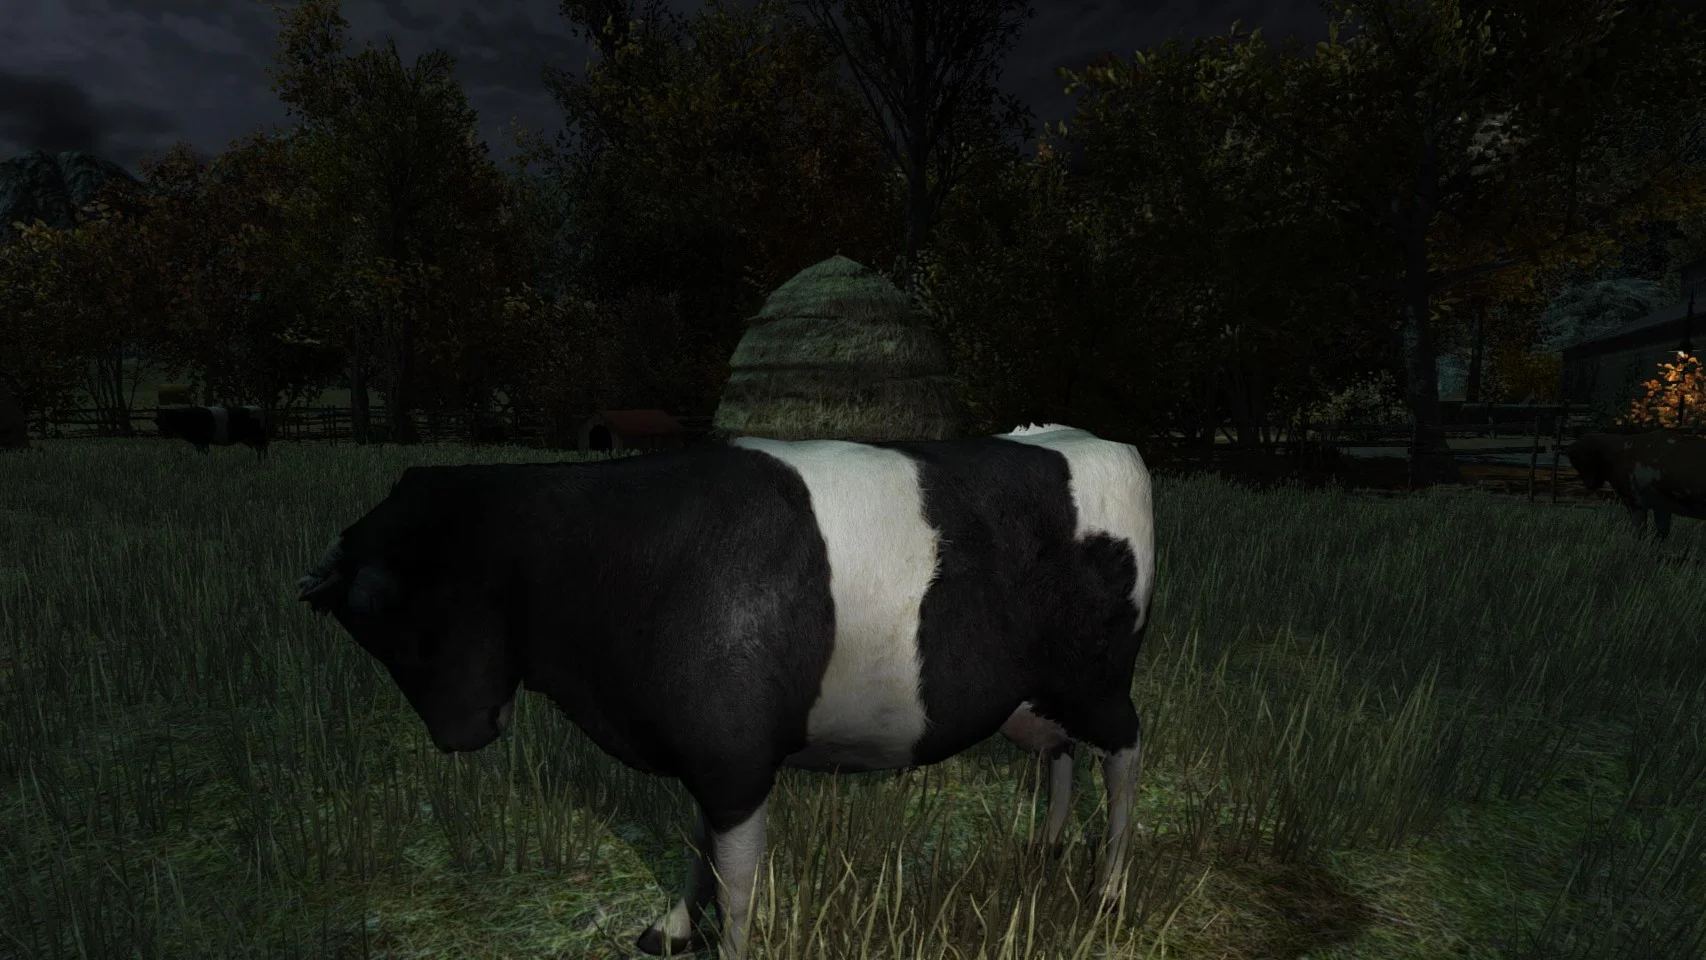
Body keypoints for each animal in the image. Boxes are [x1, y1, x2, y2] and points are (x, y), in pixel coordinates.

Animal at [296, 424, 1155, 959]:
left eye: (433, 601)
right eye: (367, 618)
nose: (463, 731)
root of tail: (1097, 441)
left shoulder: (736, 757)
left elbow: (735, 878)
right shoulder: (700, 751)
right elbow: (695, 847)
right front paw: (671, 930)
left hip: (1099, 678)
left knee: (1123, 751)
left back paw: (1109, 888)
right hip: (1029, 695)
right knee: (1059, 750)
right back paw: (1045, 849)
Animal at [1564, 429, 1706, 539]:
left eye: (1582, 462)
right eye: (1574, 462)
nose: (1588, 485)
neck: (1617, 455)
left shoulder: (1636, 502)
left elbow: (1638, 534)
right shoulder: (1661, 507)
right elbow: (1660, 534)